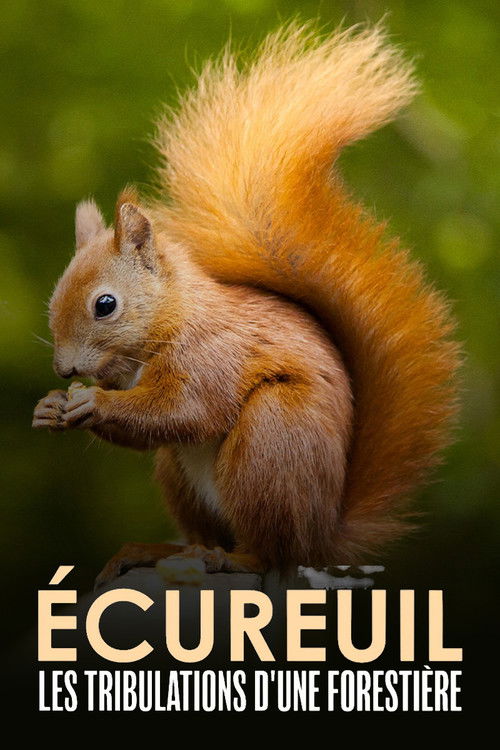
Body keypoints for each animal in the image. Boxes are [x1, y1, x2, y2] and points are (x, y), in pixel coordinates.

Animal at [33, 23, 459, 585]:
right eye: (54, 299)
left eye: (105, 305)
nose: (64, 371)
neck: (173, 318)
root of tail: (321, 537)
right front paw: (49, 407)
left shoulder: (213, 356)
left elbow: (184, 410)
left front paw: (92, 403)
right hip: (181, 475)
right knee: (203, 532)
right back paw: (156, 550)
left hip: (270, 441)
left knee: (270, 551)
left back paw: (236, 557)